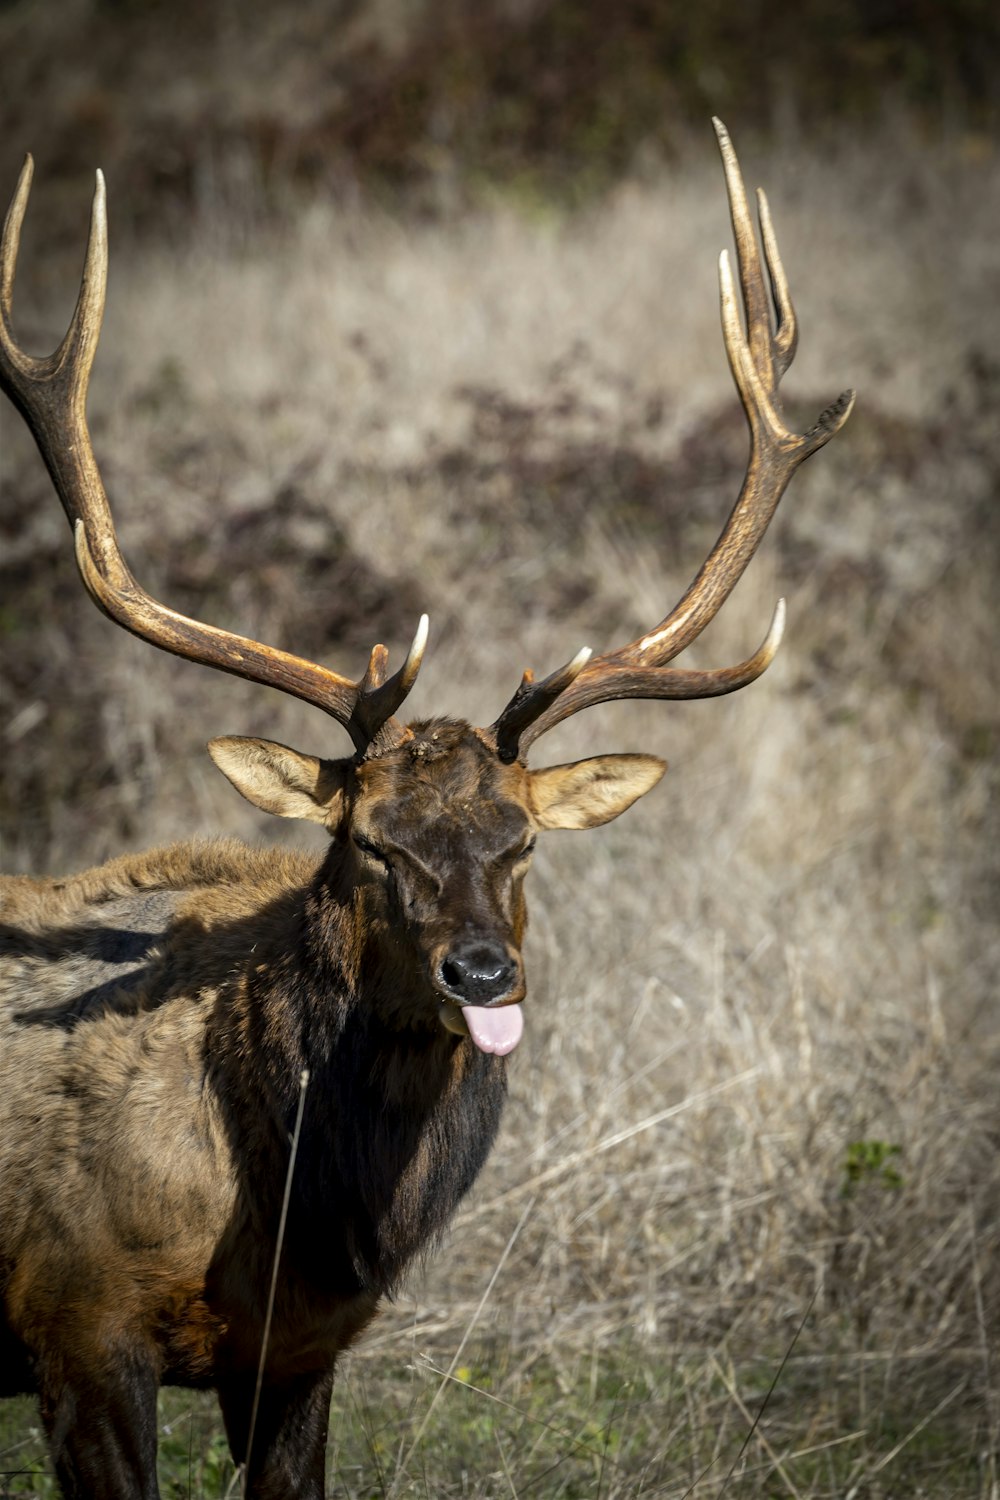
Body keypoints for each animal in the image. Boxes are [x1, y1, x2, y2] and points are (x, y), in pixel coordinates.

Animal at [0, 120, 851, 1500]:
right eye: (367, 844)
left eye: (524, 843)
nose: (483, 972)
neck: (296, 1211)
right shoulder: (72, 1318)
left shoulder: (297, 1352)